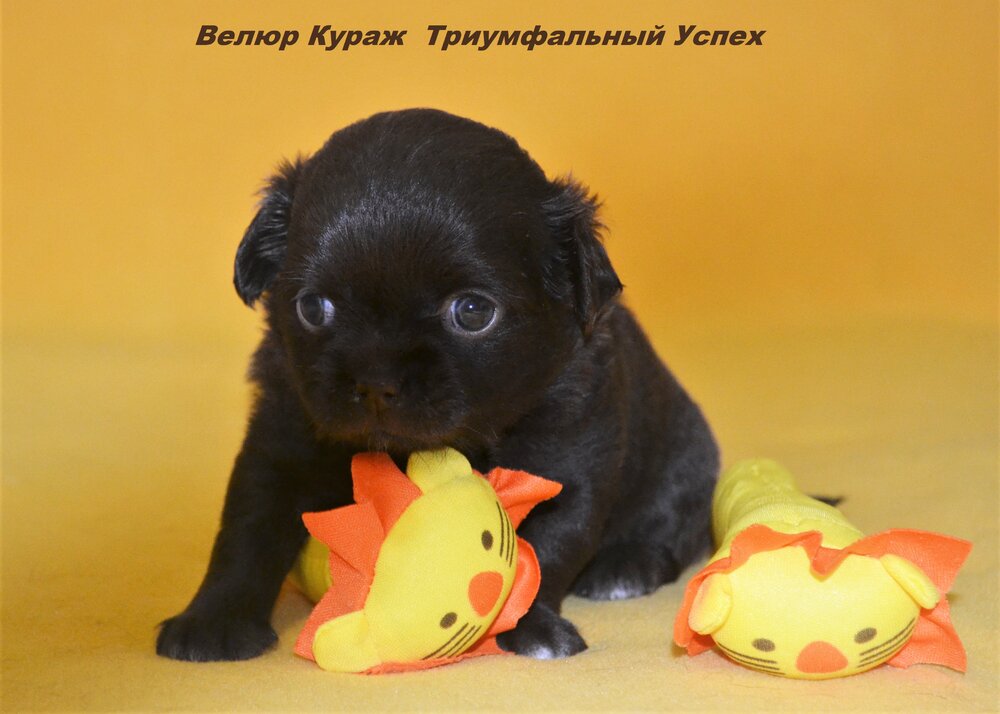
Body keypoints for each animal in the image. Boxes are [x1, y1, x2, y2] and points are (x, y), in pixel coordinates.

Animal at [156, 109, 719, 662]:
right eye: (313, 308)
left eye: (472, 312)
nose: (376, 382)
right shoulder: (280, 444)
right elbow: (246, 532)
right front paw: (213, 620)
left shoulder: (569, 458)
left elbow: (549, 545)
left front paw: (532, 627)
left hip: (685, 462)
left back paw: (626, 565)